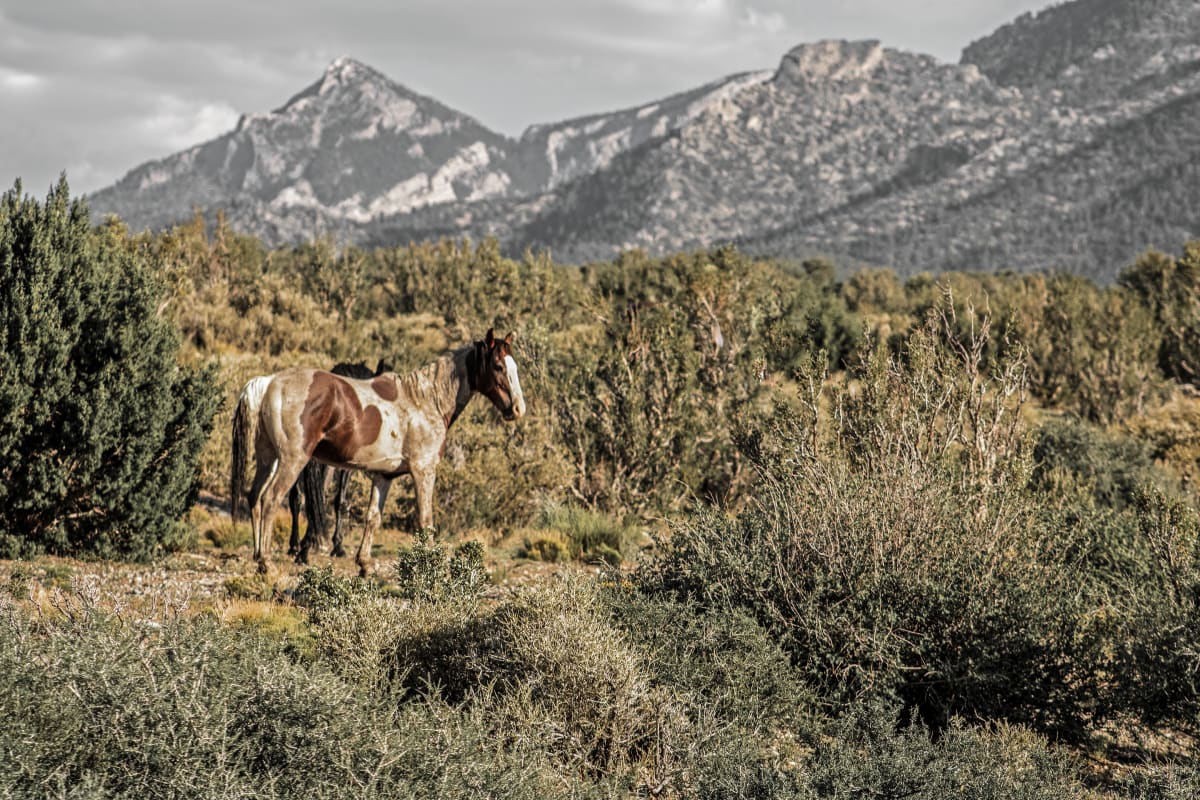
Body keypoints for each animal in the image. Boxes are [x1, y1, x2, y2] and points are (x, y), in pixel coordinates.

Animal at [226, 359, 386, 561]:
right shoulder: (343, 466)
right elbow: (338, 501)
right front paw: (336, 545)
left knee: (280, 497)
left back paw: (278, 548)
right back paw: (302, 548)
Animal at [244, 331, 525, 575]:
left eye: (514, 367)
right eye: (498, 366)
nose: (518, 409)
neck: (425, 400)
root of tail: (270, 382)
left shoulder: (383, 476)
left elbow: (373, 517)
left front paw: (365, 564)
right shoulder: (424, 471)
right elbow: (425, 521)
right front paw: (431, 566)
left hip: (268, 459)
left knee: (255, 496)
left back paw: (259, 557)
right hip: (292, 461)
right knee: (270, 499)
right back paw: (267, 562)